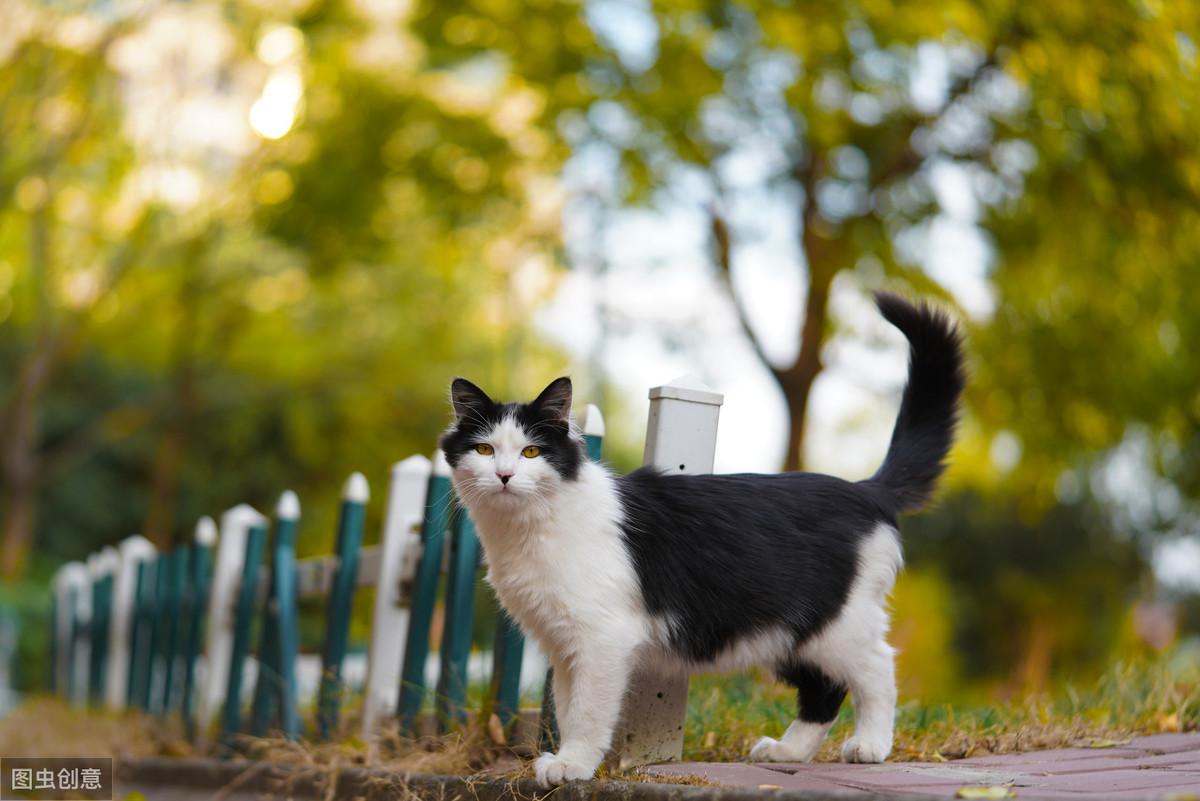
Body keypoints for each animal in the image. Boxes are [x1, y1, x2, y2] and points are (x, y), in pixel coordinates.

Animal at [441, 291, 964, 786]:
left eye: (531, 452)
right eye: (484, 450)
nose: (504, 475)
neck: (527, 528)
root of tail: (865, 489)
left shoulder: (602, 639)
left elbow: (587, 713)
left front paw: (574, 764)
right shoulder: (562, 644)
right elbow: (568, 708)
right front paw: (570, 760)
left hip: (836, 621)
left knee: (878, 668)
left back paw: (871, 745)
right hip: (789, 632)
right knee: (824, 689)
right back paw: (788, 752)